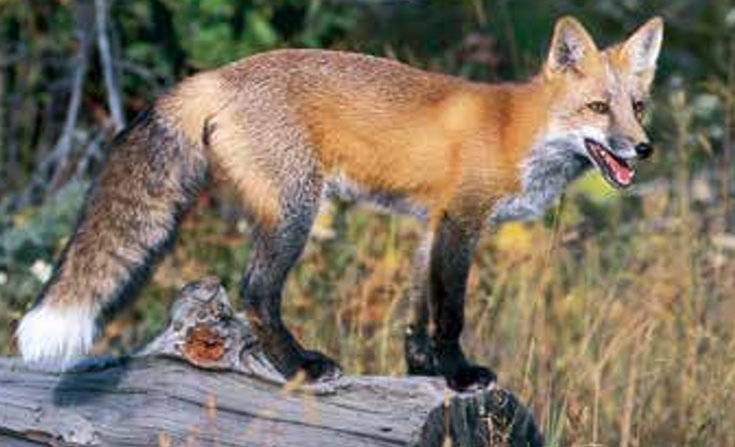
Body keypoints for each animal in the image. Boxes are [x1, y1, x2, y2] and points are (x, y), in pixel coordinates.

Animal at [17, 16, 663, 391]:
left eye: (638, 107)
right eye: (598, 109)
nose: (644, 148)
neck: (517, 132)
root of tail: (221, 73)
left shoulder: (431, 225)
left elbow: (417, 314)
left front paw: (421, 373)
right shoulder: (461, 221)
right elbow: (451, 314)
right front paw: (459, 376)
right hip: (297, 211)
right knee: (256, 291)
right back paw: (299, 366)